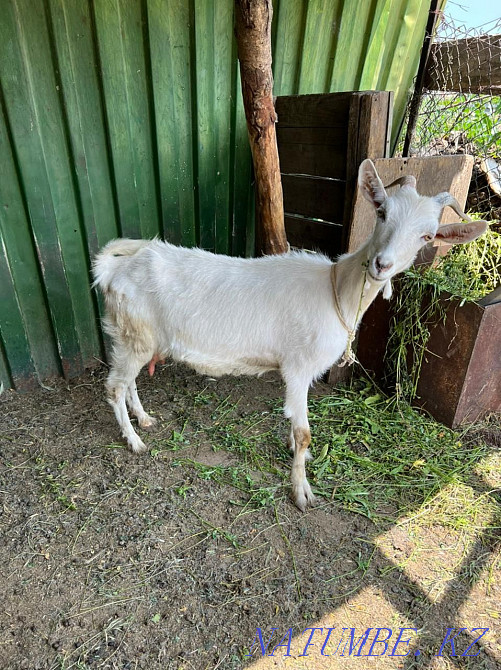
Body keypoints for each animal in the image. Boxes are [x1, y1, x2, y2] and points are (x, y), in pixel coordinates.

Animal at [93, 159, 487, 511]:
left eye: (427, 235)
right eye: (382, 213)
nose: (382, 264)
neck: (335, 291)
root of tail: (112, 269)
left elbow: (295, 426)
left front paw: (297, 456)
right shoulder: (298, 366)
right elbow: (304, 433)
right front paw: (302, 493)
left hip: (137, 338)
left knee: (129, 382)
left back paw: (144, 419)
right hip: (133, 335)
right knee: (114, 387)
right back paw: (134, 440)